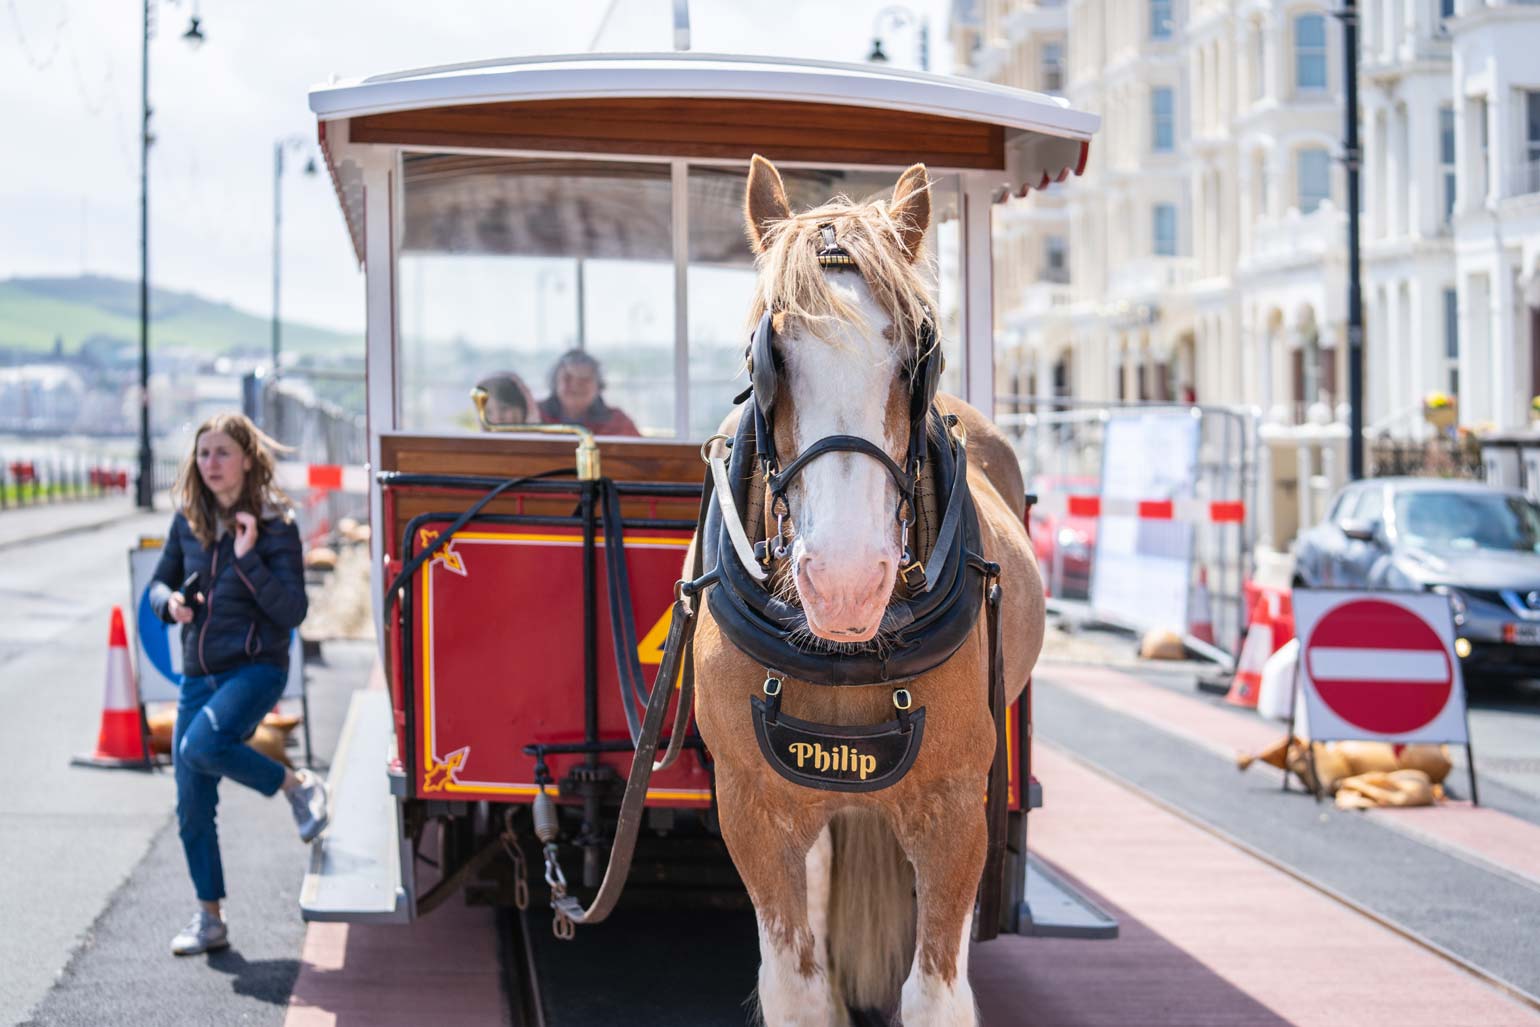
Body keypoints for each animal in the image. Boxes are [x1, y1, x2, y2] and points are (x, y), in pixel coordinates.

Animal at [696, 154, 1047, 1027]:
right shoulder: (755, 806)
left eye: (917, 353)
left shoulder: (954, 808)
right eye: (769, 356)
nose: (848, 584)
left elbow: (934, 992)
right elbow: (796, 988)